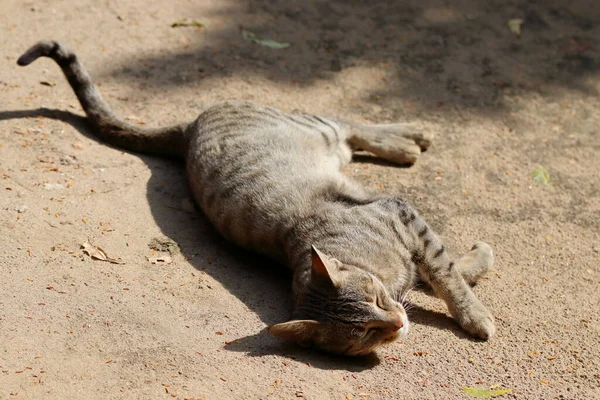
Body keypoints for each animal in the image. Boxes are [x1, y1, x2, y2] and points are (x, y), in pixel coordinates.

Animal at [17, 40, 496, 356]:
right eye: (366, 334)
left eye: (377, 301)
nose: (396, 322)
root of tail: (188, 128)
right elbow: (441, 271)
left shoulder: (402, 215)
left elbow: (446, 274)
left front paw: (474, 312)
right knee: (353, 131)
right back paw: (409, 143)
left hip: (316, 126)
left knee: (354, 124)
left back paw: (410, 137)